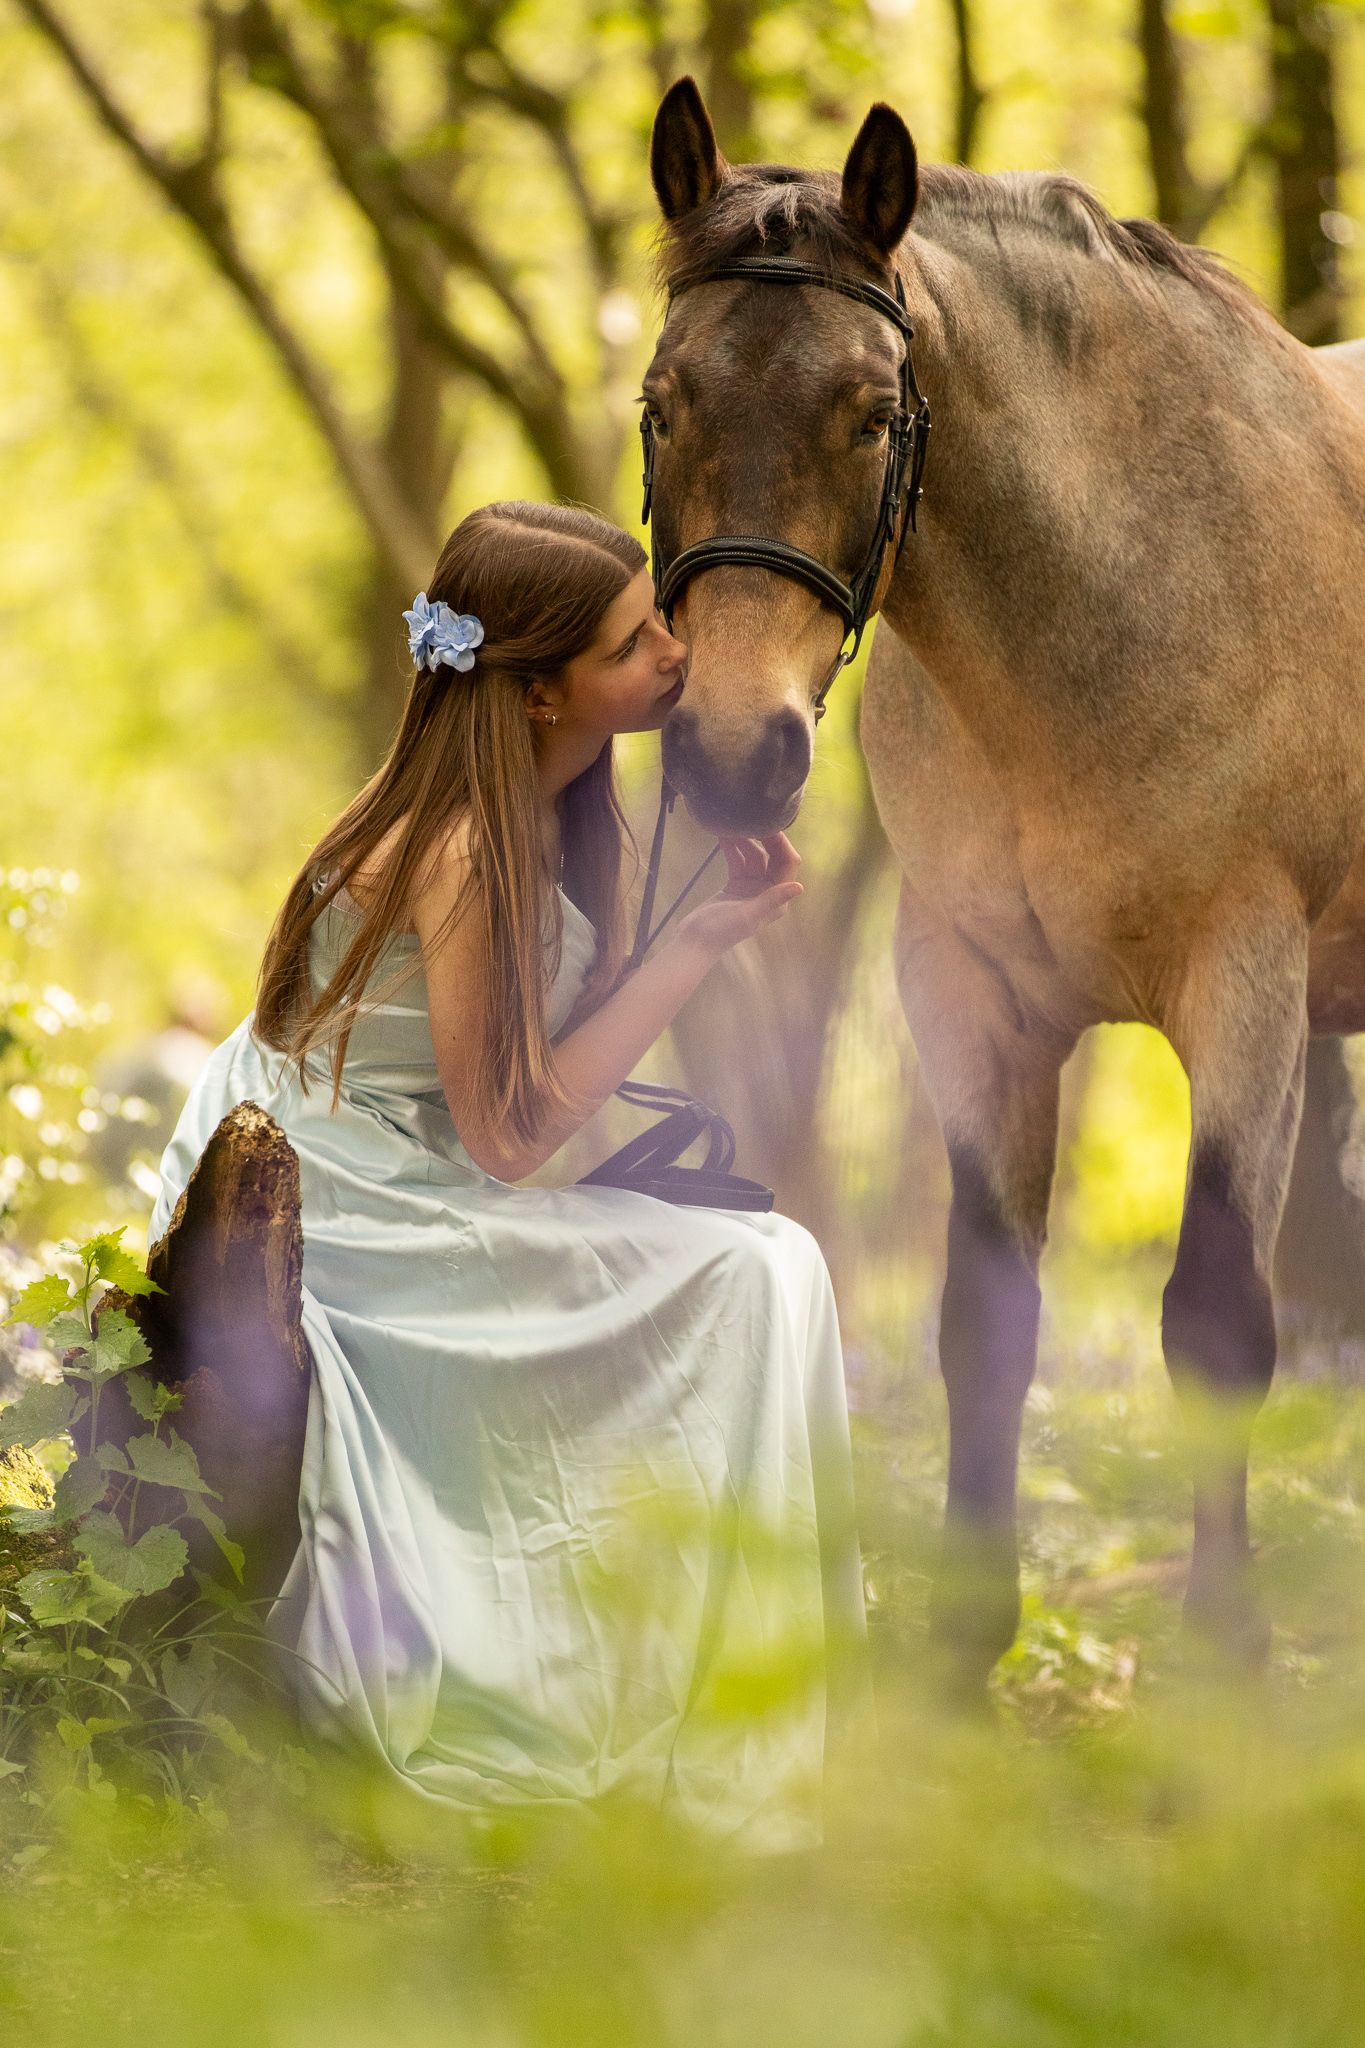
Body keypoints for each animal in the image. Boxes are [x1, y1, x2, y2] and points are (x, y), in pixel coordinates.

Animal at [642, 76, 1365, 1692]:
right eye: (662, 403)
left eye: (868, 413)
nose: (734, 751)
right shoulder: (967, 986)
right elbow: (985, 1317)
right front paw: (964, 1653)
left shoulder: (1247, 977)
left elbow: (1215, 1315)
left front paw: (1225, 1654)